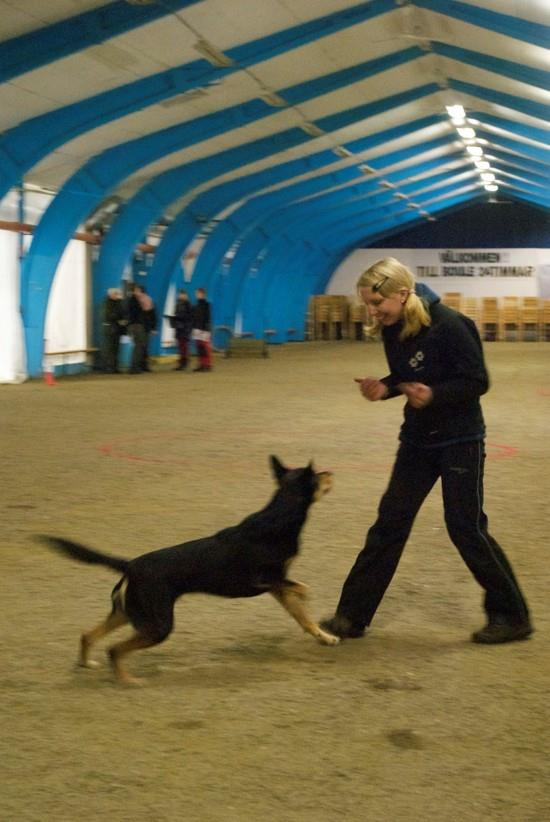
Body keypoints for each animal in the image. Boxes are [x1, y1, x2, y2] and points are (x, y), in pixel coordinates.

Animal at [38, 458, 338, 684]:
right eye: (317, 475)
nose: (331, 472)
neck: (280, 517)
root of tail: (130, 564)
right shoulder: (266, 580)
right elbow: (303, 589)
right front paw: (311, 603)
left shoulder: (276, 586)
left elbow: (303, 618)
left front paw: (326, 637)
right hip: (158, 624)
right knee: (114, 649)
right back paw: (128, 680)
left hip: (130, 613)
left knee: (88, 635)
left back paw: (87, 663)